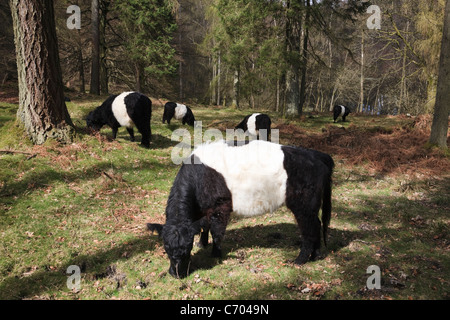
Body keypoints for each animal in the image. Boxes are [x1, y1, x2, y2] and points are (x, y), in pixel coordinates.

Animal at [148, 140, 334, 278]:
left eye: (188, 249)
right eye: (165, 248)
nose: (177, 274)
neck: (199, 176)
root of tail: (317, 154)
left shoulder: (220, 206)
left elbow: (217, 231)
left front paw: (215, 253)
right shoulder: (205, 209)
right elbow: (204, 226)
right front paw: (202, 243)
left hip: (303, 205)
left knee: (309, 230)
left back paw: (300, 259)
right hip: (312, 206)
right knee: (317, 224)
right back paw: (316, 255)